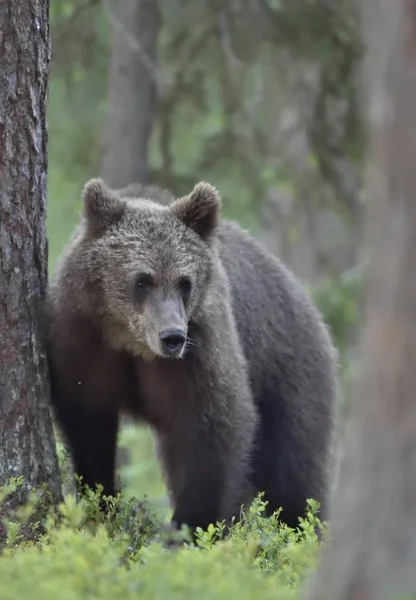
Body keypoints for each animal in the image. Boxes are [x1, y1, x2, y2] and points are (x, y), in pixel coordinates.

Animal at [46, 178, 338, 536]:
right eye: (142, 280)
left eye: (185, 282)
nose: (172, 336)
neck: (131, 343)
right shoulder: (84, 343)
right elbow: (88, 423)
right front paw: (97, 501)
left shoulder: (199, 350)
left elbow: (214, 426)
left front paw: (190, 526)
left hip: (289, 371)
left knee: (293, 468)